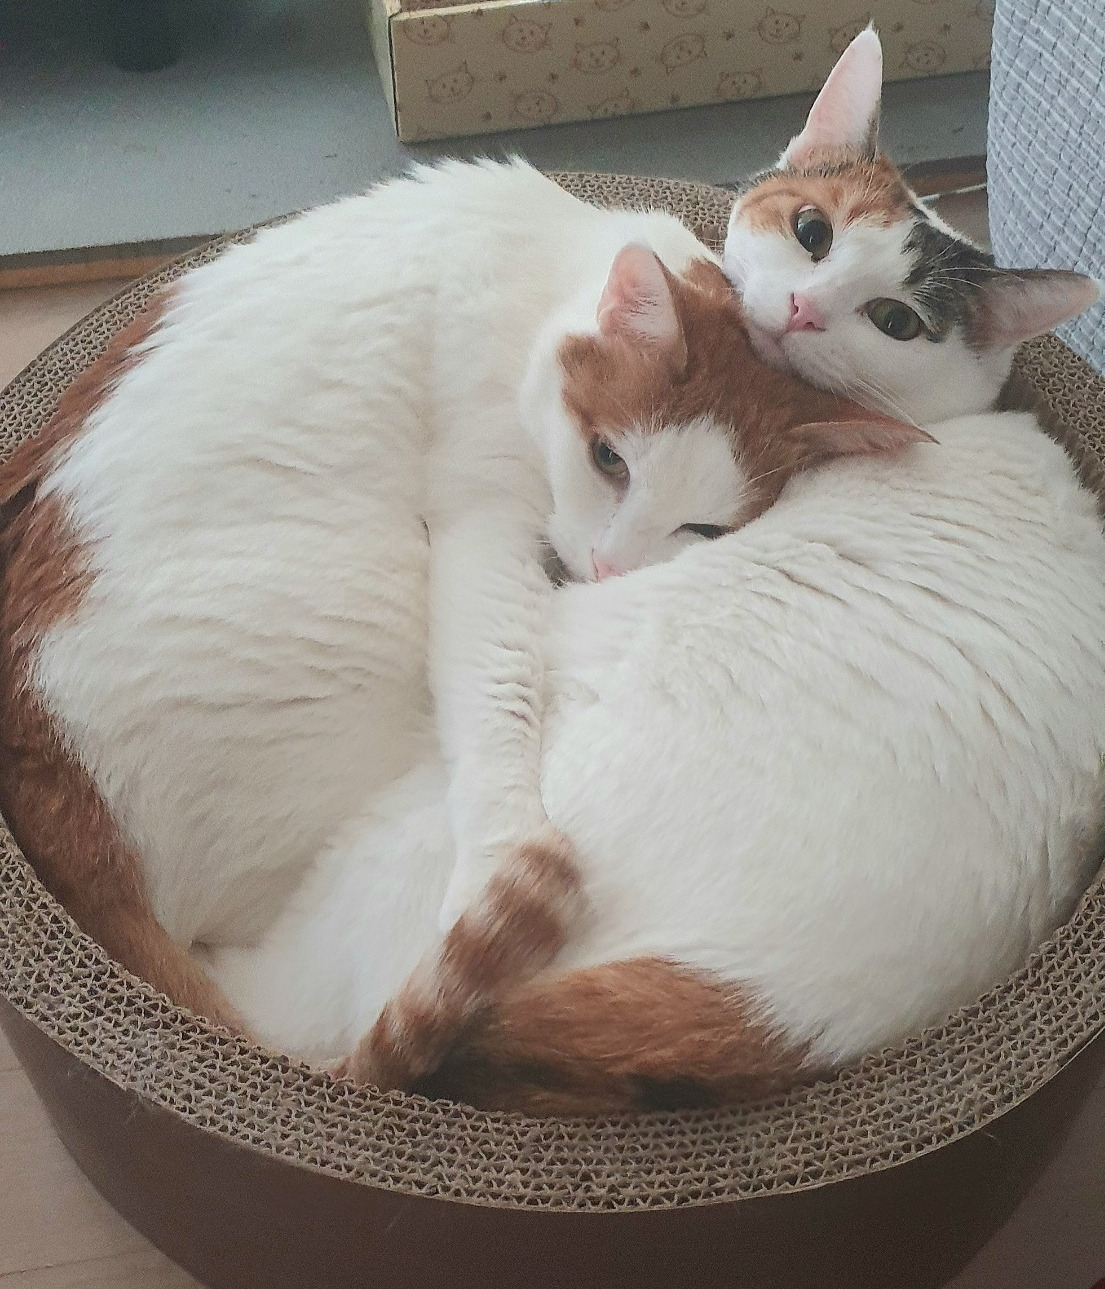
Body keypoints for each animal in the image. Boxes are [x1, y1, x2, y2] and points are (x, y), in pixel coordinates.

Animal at [0, 162, 914, 1034]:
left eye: (705, 528)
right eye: (608, 459)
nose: (606, 567)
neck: (547, 266)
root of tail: (65, 811)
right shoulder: (484, 507)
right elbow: (498, 684)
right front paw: (496, 861)